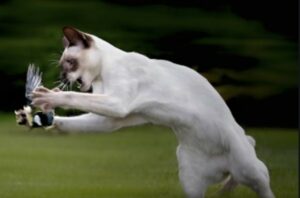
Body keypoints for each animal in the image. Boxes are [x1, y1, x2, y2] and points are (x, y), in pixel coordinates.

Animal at [32, 26, 274, 198]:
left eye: (69, 63)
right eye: (63, 66)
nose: (62, 78)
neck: (103, 74)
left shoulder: (117, 103)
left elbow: (74, 97)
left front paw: (46, 97)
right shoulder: (114, 117)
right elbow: (75, 115)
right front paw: (45, 119)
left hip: (249, 170)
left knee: (260, 184)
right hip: (191, 180)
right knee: (227, 182)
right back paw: (223, 191)